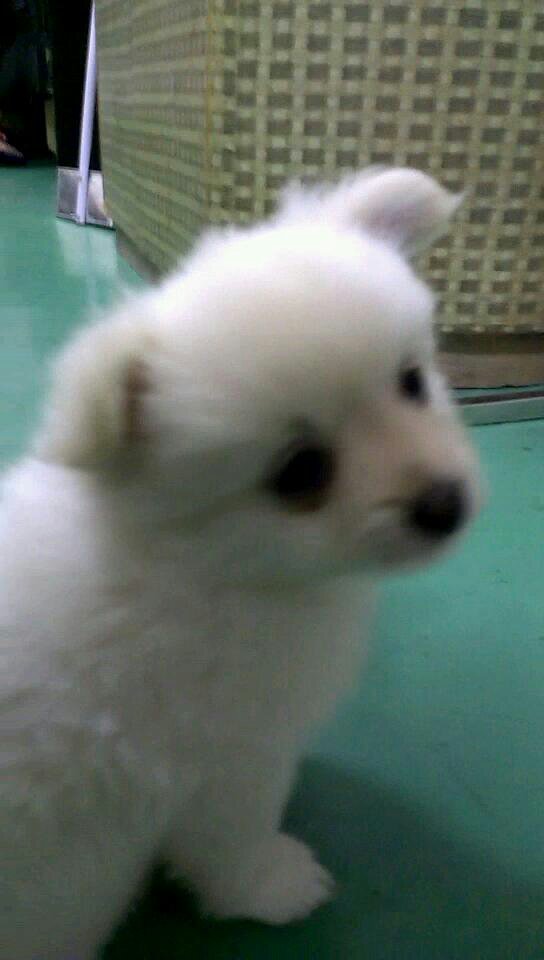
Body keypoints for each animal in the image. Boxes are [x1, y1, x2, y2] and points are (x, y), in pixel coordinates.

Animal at [0, 168, 479, 959]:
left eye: (412, 381)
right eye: (302, 471)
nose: (446, 504)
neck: (203, 562)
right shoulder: (224, 765)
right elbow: (233, 845)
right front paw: (276, 886)